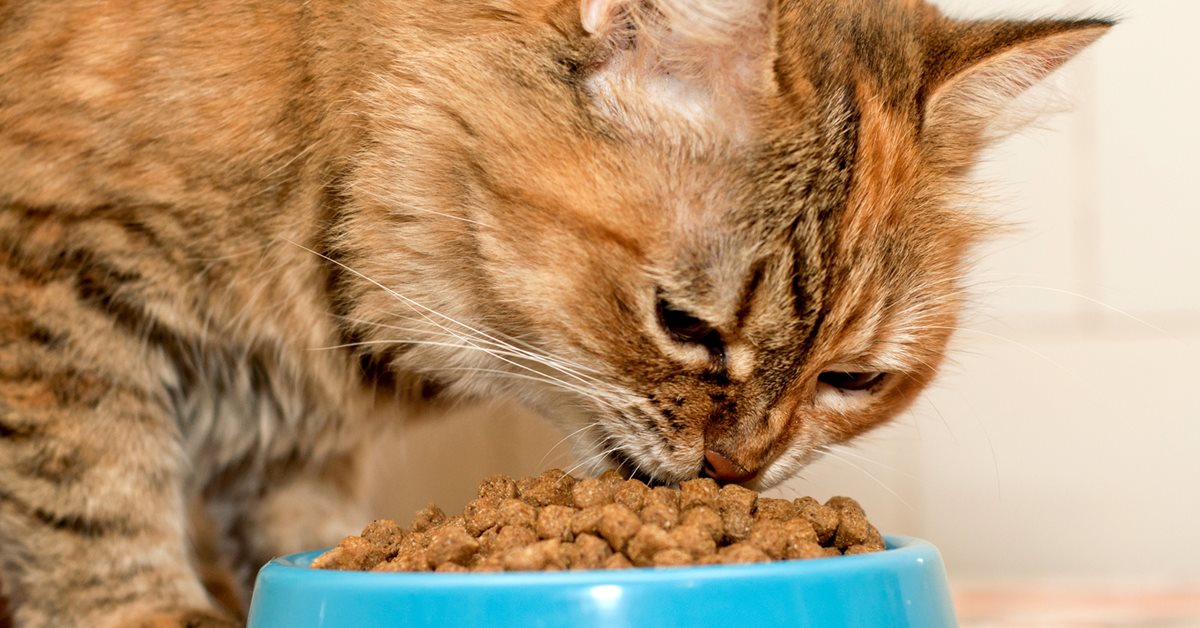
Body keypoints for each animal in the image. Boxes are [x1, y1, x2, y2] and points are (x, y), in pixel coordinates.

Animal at [0, 0, 1104, 624]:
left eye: (851, 379)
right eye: (683, 323)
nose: (737, 471)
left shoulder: (292, 440)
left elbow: (283, 526)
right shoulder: (50, 278)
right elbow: (91, 494)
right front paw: (149, 611)